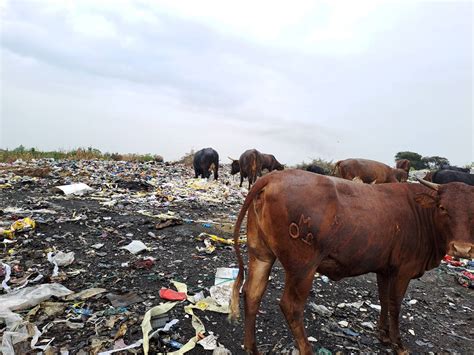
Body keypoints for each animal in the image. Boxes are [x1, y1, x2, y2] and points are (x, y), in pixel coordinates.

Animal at [231, 171, 474, 354]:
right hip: (303, 267)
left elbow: (384, 300)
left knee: (253, 293)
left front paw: (383, 335)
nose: (462, 249)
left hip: (261, 254)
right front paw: (398, 344)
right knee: (291, 306)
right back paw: (306, 349)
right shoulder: (403, 271)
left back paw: (252, 348)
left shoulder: (385, 269)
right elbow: (395, 306)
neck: (422, 215)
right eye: (443, 208)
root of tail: (273, 176)